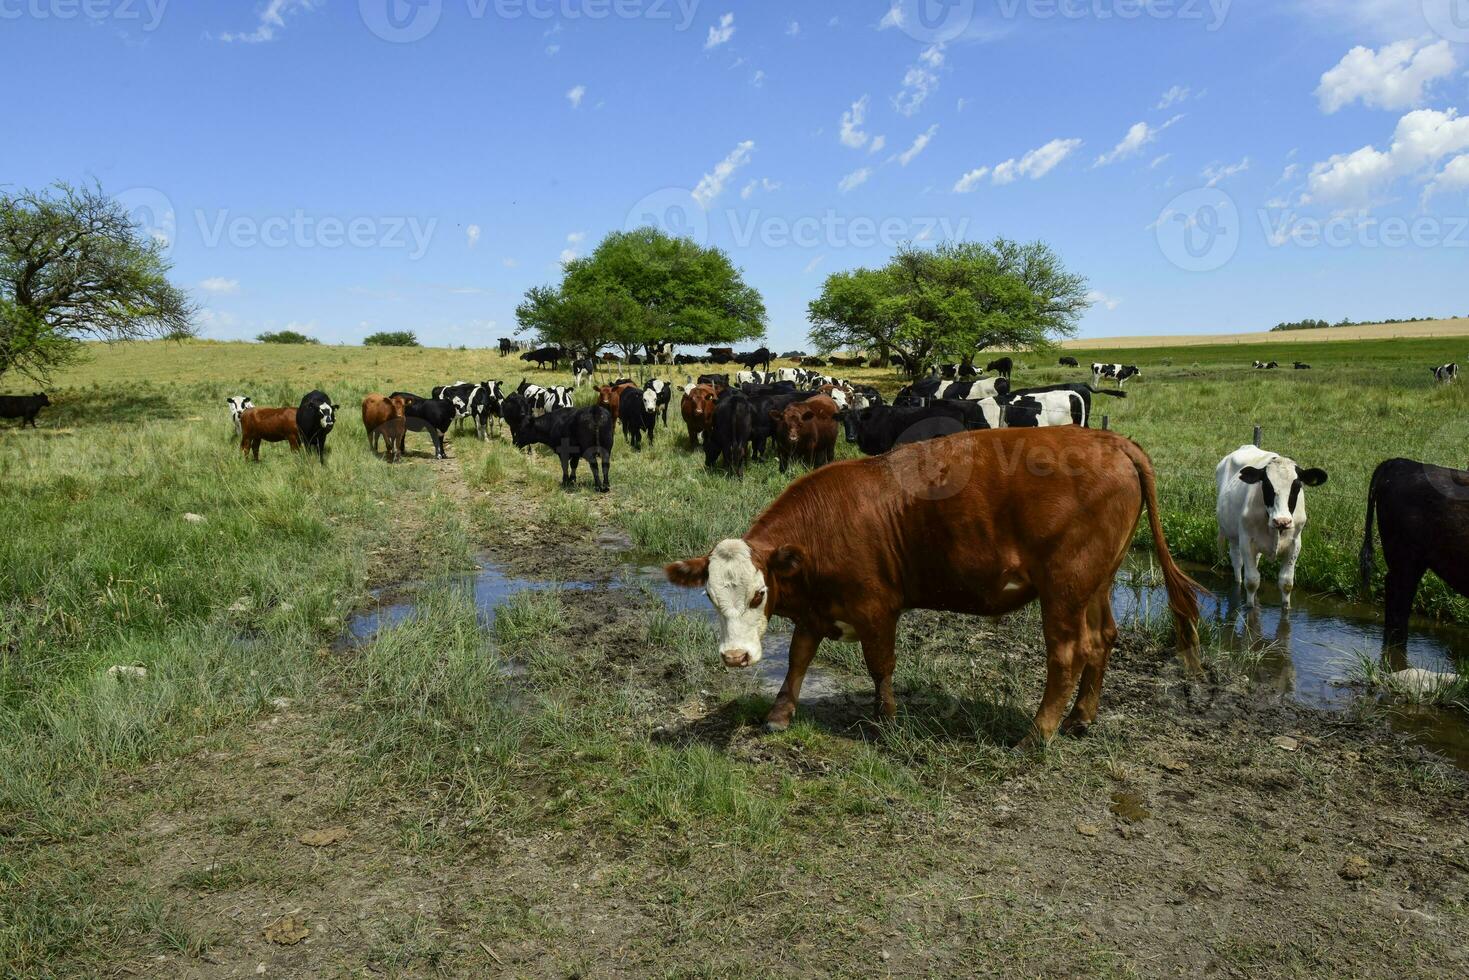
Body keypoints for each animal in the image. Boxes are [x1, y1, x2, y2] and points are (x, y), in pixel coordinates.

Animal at [672, 426, 1198, 743]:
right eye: (710, 597)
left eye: (759, 594)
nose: (735, 657)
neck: (823, 530)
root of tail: (1110, 440)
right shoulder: (818, 609)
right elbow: (798, 659)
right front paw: (780, 715)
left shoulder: (876, 607)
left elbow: (880, 665)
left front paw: (886, 721)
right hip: (1096, 586)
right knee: (1102, 641)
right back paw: (1080, 718)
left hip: (1064, 590)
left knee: (1069, 653)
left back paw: (1038, 733)